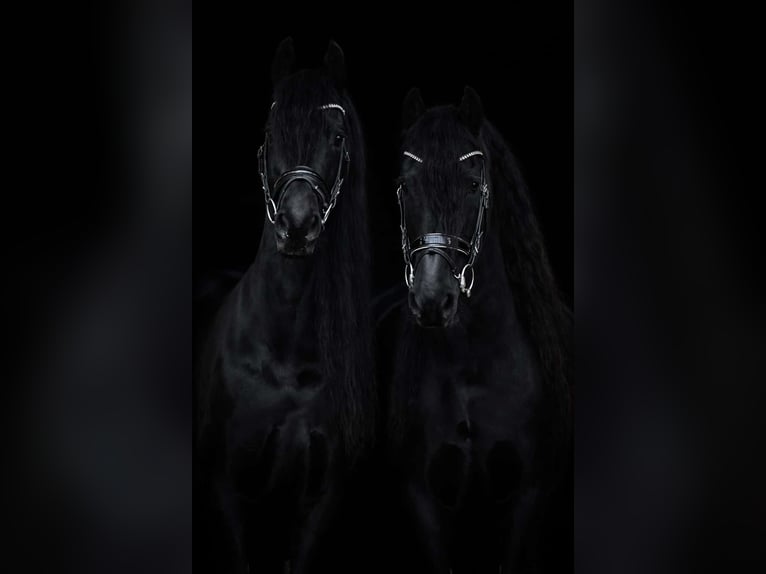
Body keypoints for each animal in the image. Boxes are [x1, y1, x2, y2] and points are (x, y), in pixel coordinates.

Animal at [196, 38, 375, 573]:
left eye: (337, 137)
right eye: (272, 133)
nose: (297, 227)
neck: (285, 359)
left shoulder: (318, 502)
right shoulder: (226, 491)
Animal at [385, 87, 572, 573]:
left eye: (473, 185)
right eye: (405, 186)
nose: (433, 300)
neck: (474, 365)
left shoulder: (526, 498)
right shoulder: (425, 501)